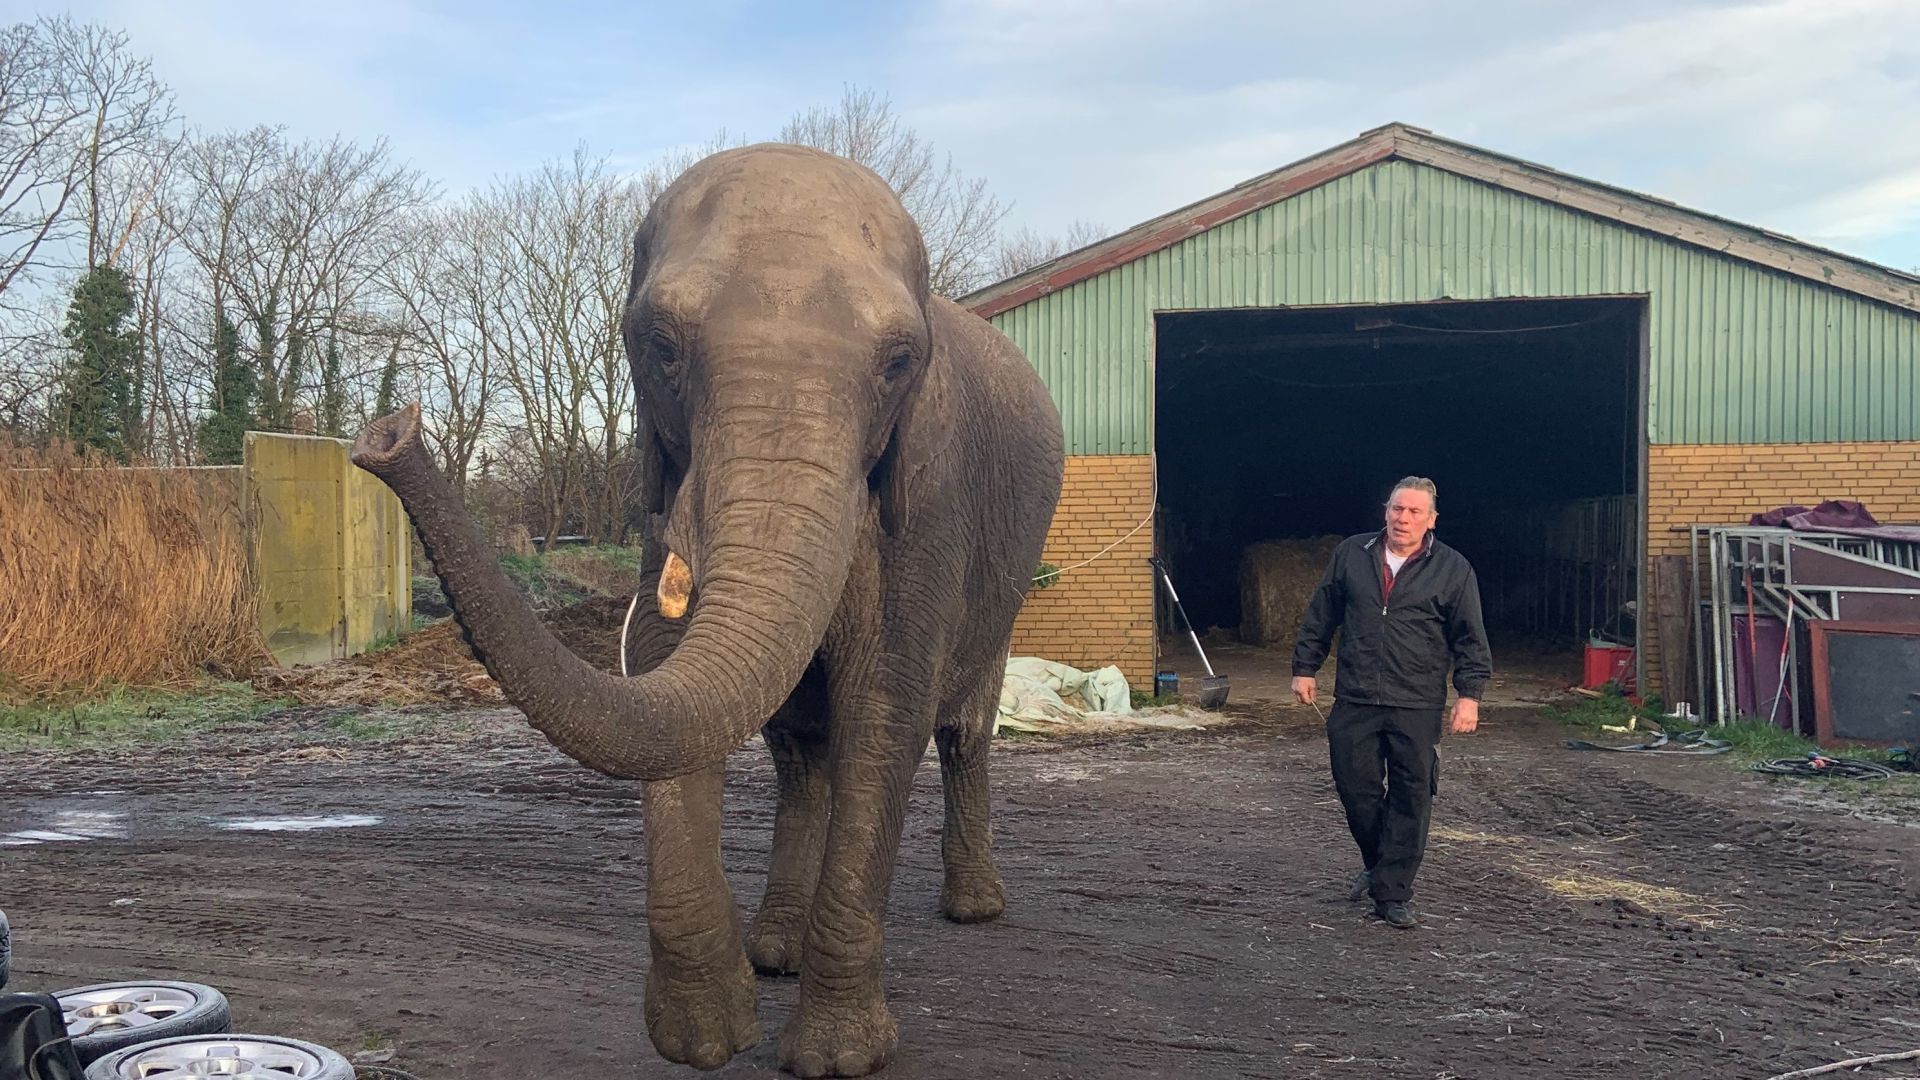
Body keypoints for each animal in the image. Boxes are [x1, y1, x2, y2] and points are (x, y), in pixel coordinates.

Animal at [345, 145, 1067, 1076]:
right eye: (660, 346)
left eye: (900, 363)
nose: (387, 434)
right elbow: (665, 678)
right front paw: (708, 1038)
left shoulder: (931, 503)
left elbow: (885, 710)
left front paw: (836, 1060)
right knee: (801, 753)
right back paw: (775, 951)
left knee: (962, 731)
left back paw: (973, 908)